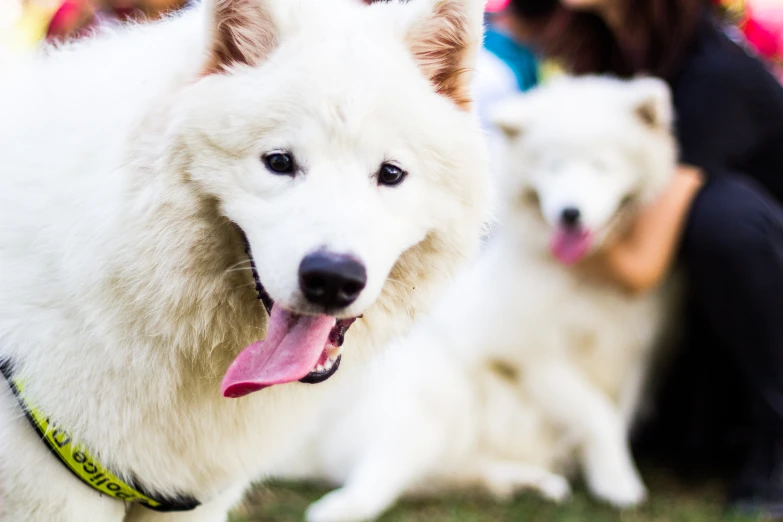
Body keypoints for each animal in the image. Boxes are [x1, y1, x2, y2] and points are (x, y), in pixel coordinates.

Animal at [282, 75, 680, 520]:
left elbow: (616, 414)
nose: (569, 213)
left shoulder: (637, 350)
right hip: (428, 406)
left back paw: (531, 482)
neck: (588, 276)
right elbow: (598, 414)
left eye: (601, 166)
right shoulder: (530, 353)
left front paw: (609, 474)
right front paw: (617, 483)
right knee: (377, 478)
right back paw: (339, 508)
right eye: (551, 166)